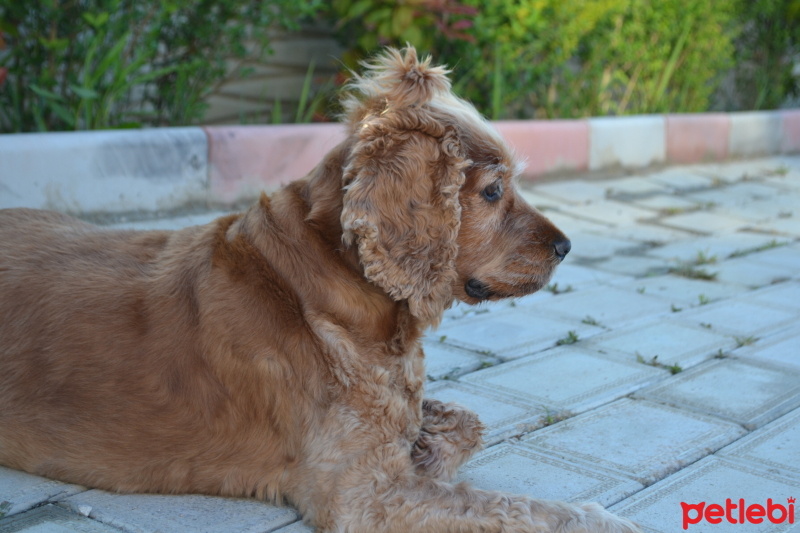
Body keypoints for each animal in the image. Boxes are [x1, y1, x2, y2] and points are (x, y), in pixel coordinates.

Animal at [0, 47, 636, 528]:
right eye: (492, 191)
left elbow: (467, 422)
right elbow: (521, 508)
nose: (566, 247)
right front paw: (599, 519)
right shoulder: (364, 494)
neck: (334, 287)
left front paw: (426, 448)